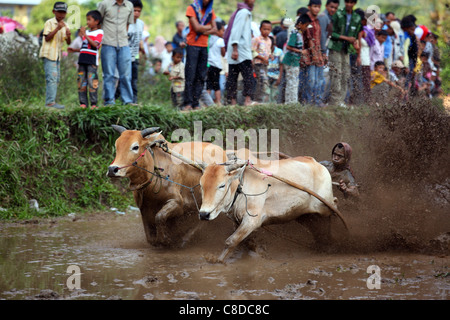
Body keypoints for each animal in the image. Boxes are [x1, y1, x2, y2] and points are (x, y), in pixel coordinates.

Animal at [199, 155, 342, 262]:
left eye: (222, 185)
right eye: (201, 185)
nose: (204, 214)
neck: (240, 187)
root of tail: (315, 162)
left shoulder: (251, 221)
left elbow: (230, 241)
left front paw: (217, 261)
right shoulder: (238, 221)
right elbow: (244, 242)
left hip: (323, 205)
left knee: (335, 204)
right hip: (305, 214)